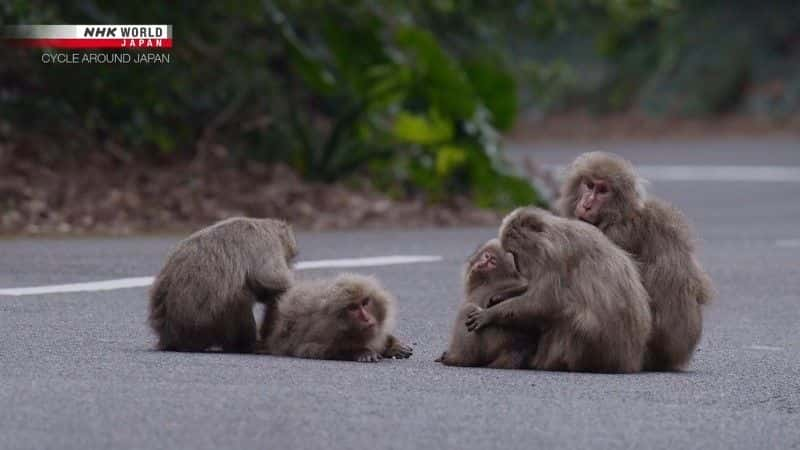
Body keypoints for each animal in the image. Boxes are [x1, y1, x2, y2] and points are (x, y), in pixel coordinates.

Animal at [148, 216, 296, 354]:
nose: (290, 264)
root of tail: (169, 336)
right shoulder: (265, 245)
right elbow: (276, 286)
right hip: (205, 324)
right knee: (238, 296)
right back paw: (244, 344)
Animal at [260, 272, 412, 364]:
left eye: (365, 302)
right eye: (353, 308)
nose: (366, 318)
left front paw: (391, 344)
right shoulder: (322, 331)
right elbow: (310, 349)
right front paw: (360, 351)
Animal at [438, 239, 536, 370]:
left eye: (492, 262)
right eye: (486, 256)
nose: (482, 264)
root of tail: (514, 349)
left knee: (468, 309)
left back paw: (457, 360)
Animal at [466, 207, 652, 372]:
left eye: (513, 253)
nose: (517, 267)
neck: (550, 237)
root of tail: (629, 363)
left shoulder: (553, 259)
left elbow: (543, 303)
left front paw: (490, 314)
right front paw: (503, 295)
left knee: (574, 316)